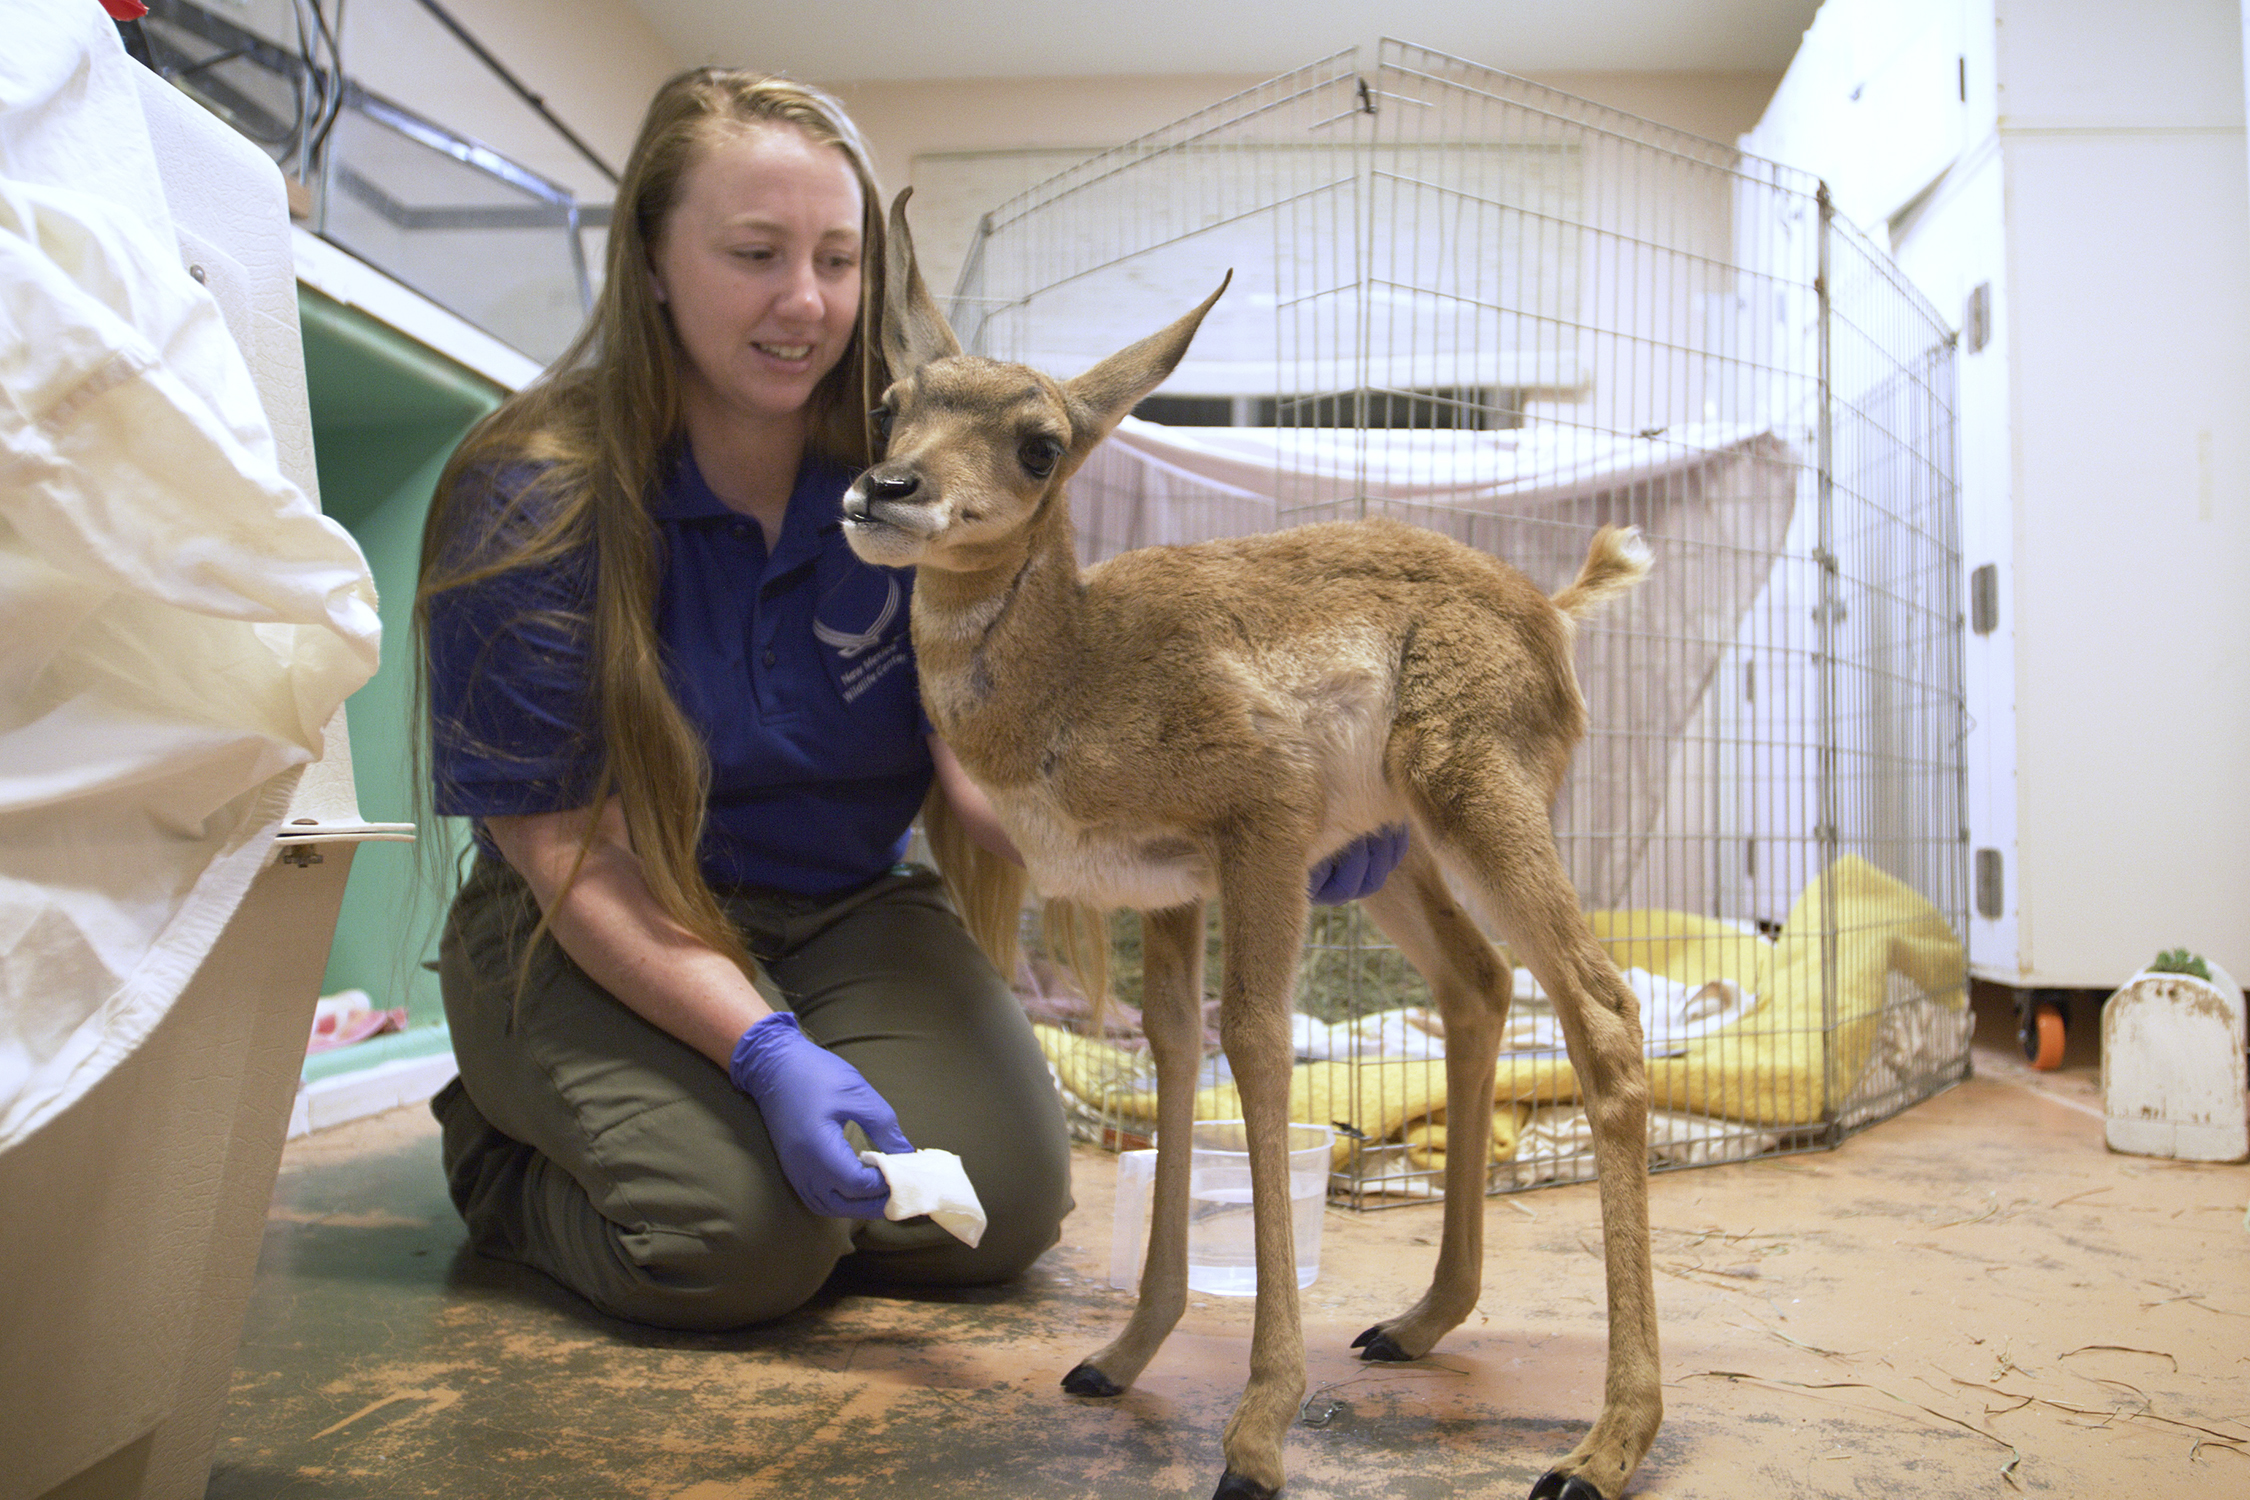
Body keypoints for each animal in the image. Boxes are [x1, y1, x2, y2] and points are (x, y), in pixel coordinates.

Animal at [842, 189, 1662, 1500]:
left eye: (1039, 441)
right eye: (891, 402)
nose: (888, 488)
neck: (1084, 666)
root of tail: (1549, 608)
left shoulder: (1259, 831)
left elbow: (1260, 1047)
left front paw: (1259, 1429)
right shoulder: (1170, 893)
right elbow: (1177, 1054)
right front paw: (1122, 1352)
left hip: (1475, 815)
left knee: (1601, 1011)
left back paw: (1600, 1449)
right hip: (1398, 858)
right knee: (1480, 988)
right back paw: (1414, 1323)